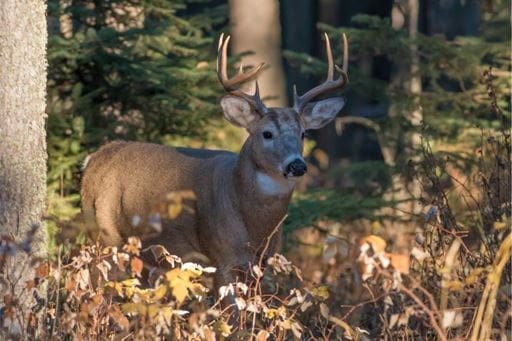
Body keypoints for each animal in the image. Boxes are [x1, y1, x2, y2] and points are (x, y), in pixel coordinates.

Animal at [80, 32, 350, 290]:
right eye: (267, 133)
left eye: (303, 133)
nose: (297, 165)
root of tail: (94, 158)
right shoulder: (222, 256)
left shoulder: (262, 263)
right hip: (103, 234)